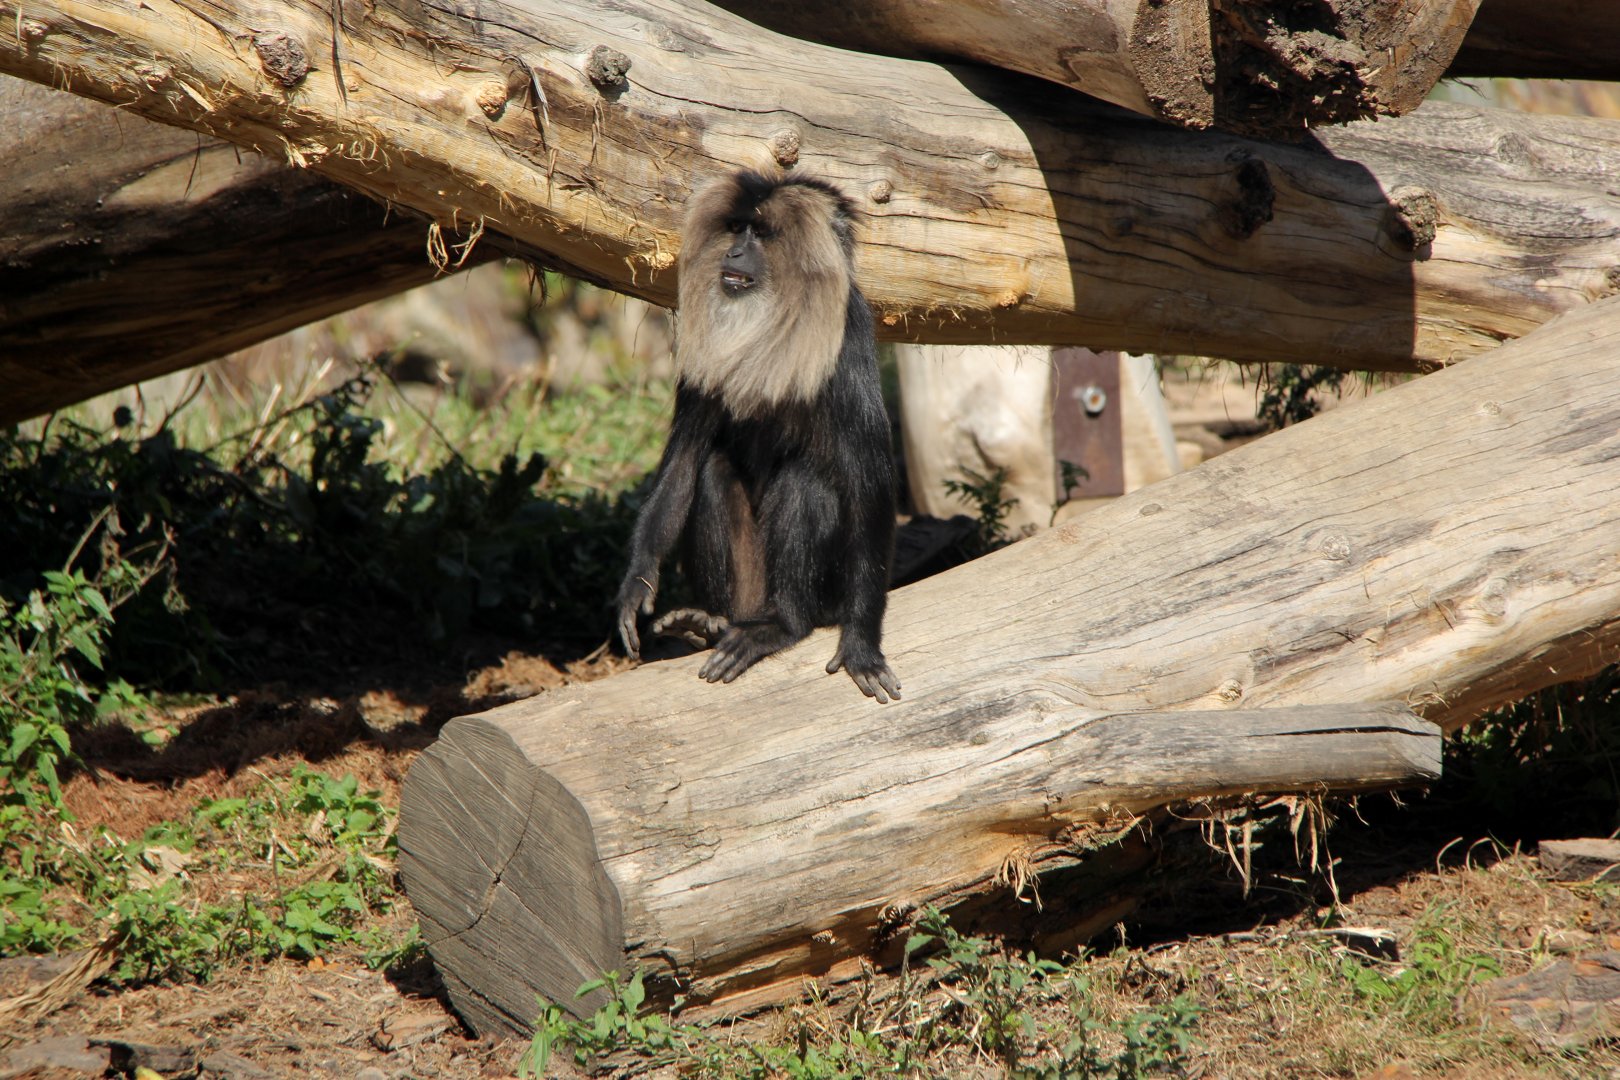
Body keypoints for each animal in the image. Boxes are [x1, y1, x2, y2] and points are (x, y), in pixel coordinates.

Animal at [615, 168, 901, 702]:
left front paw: (862, 645)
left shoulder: (848, 334)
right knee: (712, 470)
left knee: (807, 481)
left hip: (825, 591)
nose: (733, 254)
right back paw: (710, 622)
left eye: (762, 235)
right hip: (750, 586)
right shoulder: (703, 351)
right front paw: (637, 582)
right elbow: (685, 459)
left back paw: (782, 625)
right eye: (736, 228)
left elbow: (869, 485)